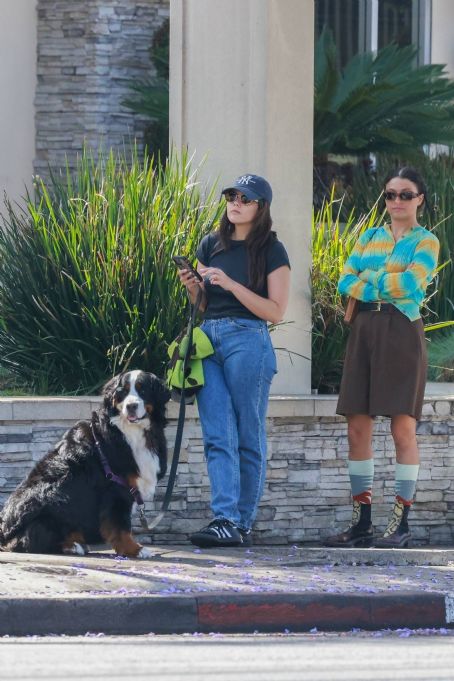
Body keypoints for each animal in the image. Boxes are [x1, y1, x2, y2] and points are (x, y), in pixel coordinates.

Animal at [0, 372, 169, 556]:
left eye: (143, 390)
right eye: (122, 392)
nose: (131, 406)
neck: (130, 432)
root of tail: (4, 529)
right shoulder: (116, 488)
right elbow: (121, 526)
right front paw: (134, 549)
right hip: (53, 501)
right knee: (29, 541)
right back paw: (72, 546)